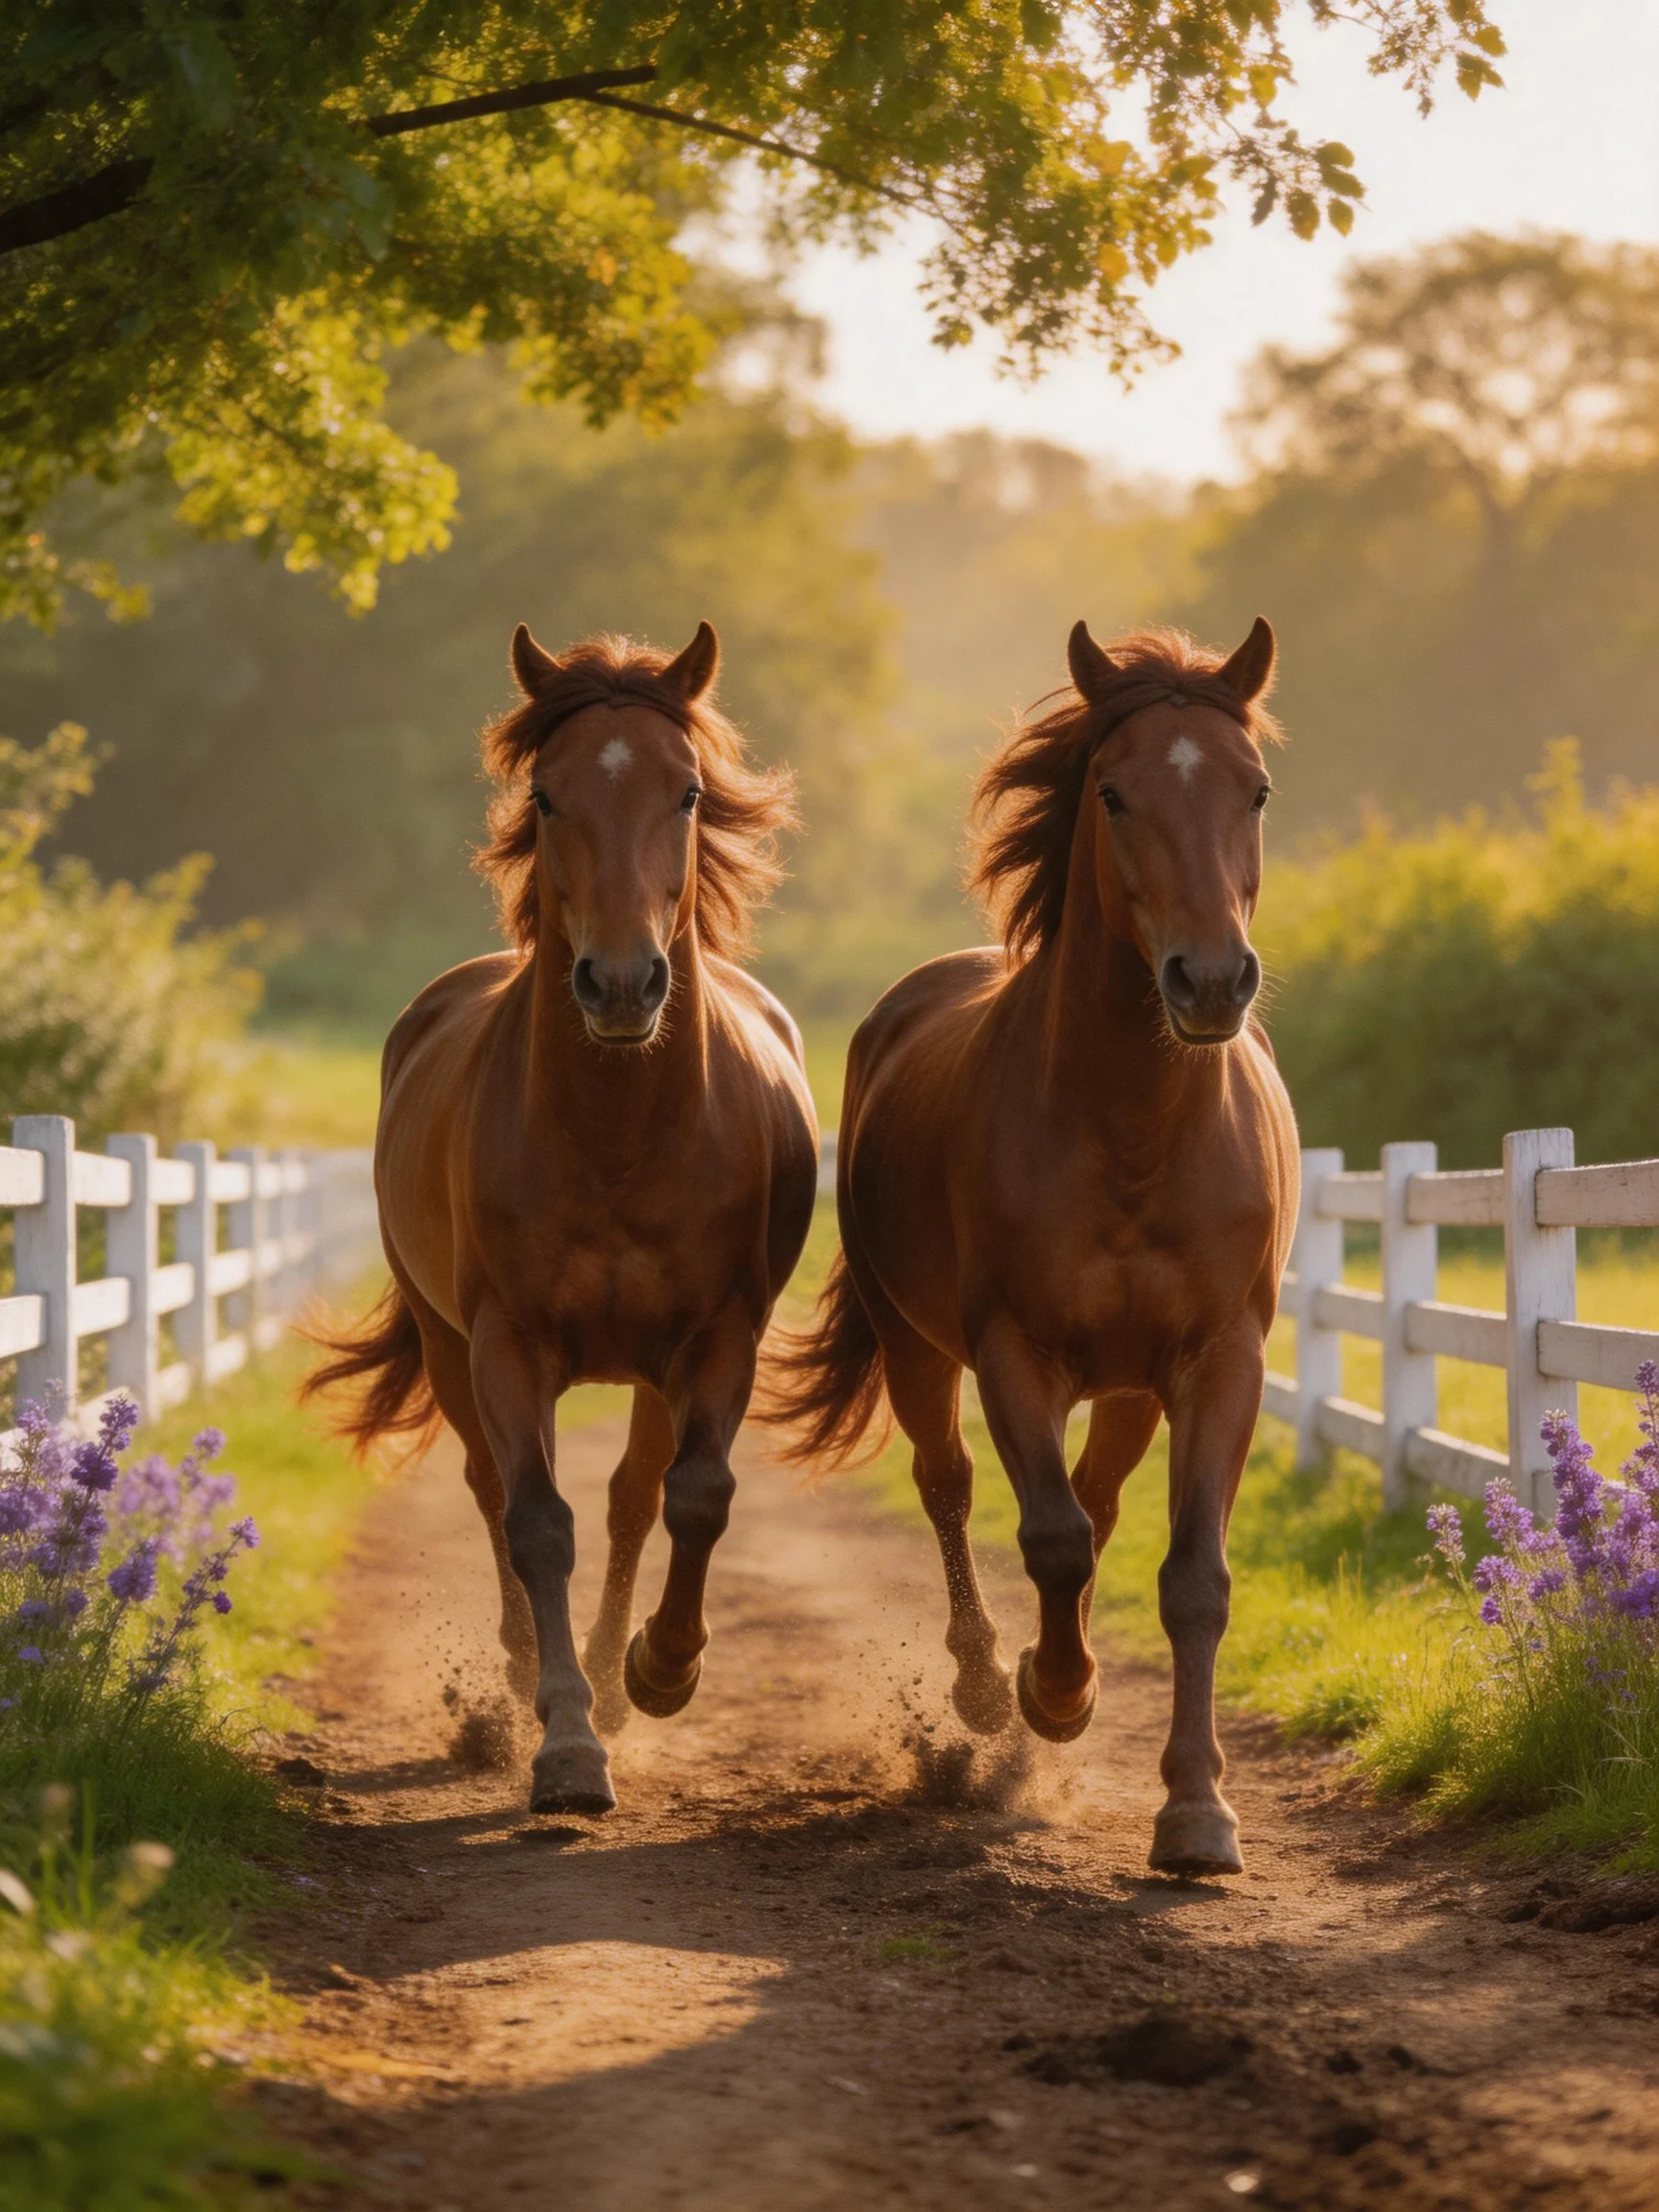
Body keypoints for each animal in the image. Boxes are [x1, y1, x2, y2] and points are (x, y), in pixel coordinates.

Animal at [305, 623, 819, 1816]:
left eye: (687, 792)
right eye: (546, 794)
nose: (621, 985)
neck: (618, 1133)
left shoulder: (716, 1339)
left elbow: (695, 1497)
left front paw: (659, 1670)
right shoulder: (508, 1342)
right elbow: (537, 1519)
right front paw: (568, 1743)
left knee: (634, 1498)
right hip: (448, 1346)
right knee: (495, 1490)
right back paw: (527, 1675)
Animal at [765, 620, 1298, 1877]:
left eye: (1253, 789)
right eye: (1113, 793)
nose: (1211, 980)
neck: (1135, 1128)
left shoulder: (1218, 1361)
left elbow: (1190, 1577)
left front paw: (1197, 1813)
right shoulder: (1015, 1353)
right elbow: (1049, 1539)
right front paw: (1050, 1695)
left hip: (1132, 1389)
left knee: (1098, 1503)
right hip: (918, 1352)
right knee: (951, 1485)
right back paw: (984, 1684)